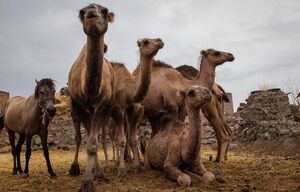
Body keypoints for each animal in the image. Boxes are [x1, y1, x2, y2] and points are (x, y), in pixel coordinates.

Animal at [67, 3, 115, 192]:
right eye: (82, 12)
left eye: (105, 10)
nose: (91, 13)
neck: (90, 90)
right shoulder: (79, 106)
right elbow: (87, 141)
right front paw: (87, 181)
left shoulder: (103, 106)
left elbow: (93, 144)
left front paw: (91, 180)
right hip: (75, 112)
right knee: (79, 137)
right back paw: (75, 168)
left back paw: (98, 173)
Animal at [102, 37, 164, 176]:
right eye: (146, 41)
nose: (160, 41)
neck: (130, 91)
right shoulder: (118, 109)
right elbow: (122, 140)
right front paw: (122, 170)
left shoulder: (134, 110)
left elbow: (133, 139)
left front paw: (137, 166)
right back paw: (106, 166)